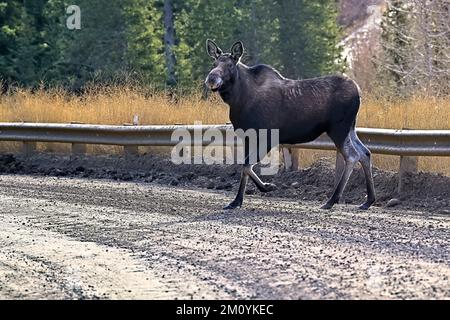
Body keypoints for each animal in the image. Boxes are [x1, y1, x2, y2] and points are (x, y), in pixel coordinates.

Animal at [205, 40, 376, 210]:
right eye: (213, 63)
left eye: (230, 65)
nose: (211, 78)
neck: (238, 100)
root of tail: (358, 91)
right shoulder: (248, 136)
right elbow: (245, 165)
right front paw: (265, 188)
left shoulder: (267, 137)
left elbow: (247, 166)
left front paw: (239, 199)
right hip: (350, 128)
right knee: (365, 152)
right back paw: (368, 200)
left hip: (338, 129)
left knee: (353, 156)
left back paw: (332, 200)